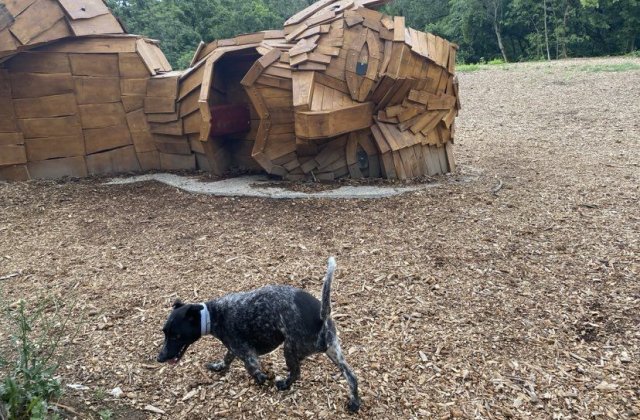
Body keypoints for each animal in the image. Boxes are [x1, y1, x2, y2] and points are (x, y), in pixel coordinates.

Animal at [157, 258, 360, 412]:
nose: (159, 358)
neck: (213, 314)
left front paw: (263, 380)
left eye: (175, 336)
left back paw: (284, 384)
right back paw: (355, 403)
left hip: (290, 349)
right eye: (165, 333)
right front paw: (218, 367)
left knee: (296, 373)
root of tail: (321, 318)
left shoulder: (248, 354)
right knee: (351, 376)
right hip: (335, 353)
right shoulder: (234, 348)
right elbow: (226, 359)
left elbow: (254, 371)